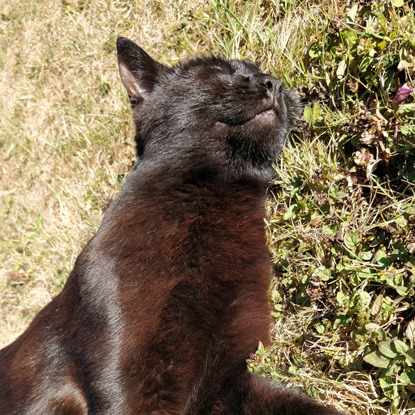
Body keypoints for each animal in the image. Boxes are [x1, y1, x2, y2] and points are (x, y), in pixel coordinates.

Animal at [0, 37, 344, 414]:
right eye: (219, 71)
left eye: (264, 75)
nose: (273, 83)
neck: (215, 198)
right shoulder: (128, 385)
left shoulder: (229, 379)